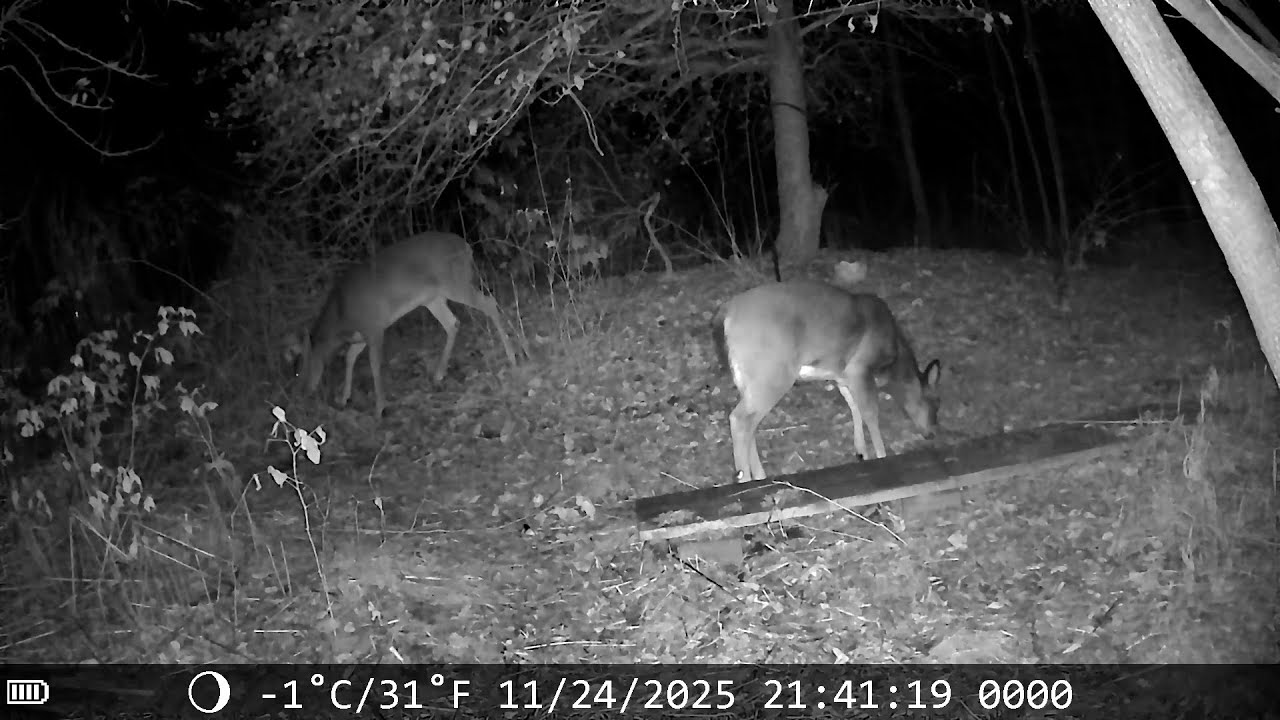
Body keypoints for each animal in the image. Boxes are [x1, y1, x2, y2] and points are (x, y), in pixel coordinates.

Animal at [288, 231, 518, 418]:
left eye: (299, 371)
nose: (300, 393)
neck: (341, 315)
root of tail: (466, 246)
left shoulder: (374, 327)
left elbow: (374, 364)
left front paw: (379, 408)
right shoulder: (361, 334)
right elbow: (350, 357)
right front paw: (343, 398)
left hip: (454, 282)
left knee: (489, 304)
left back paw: (512, 356)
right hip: (432, 298)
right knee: (452, 323)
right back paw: (439, 374)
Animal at [717, 280, 942, 482]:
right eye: (935, 402)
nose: (932, 433)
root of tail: (726, 315)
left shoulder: (842, 376)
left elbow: (855, 408)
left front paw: (861, 452)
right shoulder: (860, 367)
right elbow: (870, 413)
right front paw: (881, 455)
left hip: (749, 378)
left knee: (749, 423)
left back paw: (759, 476)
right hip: (772, 372)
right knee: (739, 419)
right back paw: (746, 478)